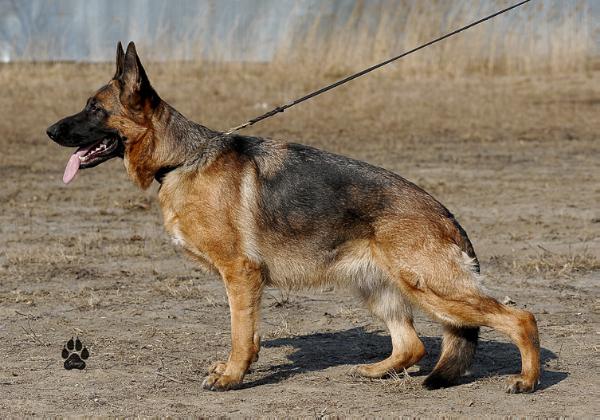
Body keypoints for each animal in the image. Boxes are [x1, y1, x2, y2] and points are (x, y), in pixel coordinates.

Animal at [47, 41, 540, 392]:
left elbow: (240, 333)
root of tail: (445, 213)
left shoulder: (240, 275)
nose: (49, 130)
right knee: (413, 344)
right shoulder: (245, 282)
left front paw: (231, 378)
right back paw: (376, 371)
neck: (182, 159)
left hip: (432, 288)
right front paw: (238, 369)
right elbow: (249, 334)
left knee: (521, 318)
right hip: (379, 287)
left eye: (94, 108)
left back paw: (528, 380)